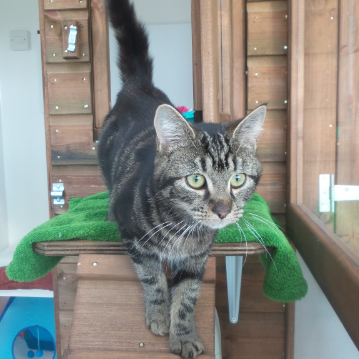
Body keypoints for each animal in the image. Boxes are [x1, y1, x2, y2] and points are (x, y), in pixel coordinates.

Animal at [99, 0, 268, 358]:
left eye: (237, 180)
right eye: (196, 181)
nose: (222, 211)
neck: (184, 229)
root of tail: (139, 86)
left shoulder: (197, 259)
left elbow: (188, 296)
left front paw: (184, 333)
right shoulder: (135, 242)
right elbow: (153, 278)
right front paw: (159, 315)